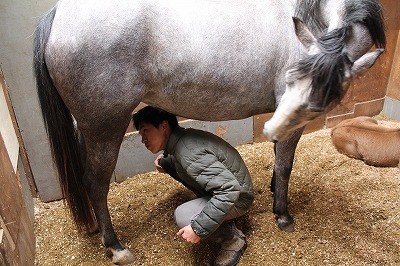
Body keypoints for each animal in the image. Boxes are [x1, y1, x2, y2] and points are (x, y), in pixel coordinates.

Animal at [33, 0, 384, 262]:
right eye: (294, 78)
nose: (270, 128)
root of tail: (58, 15)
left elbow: (278, 158)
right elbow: (285, 164)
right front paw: (282, 215)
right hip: (105, 126)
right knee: (95, 183)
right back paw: (116, 247)